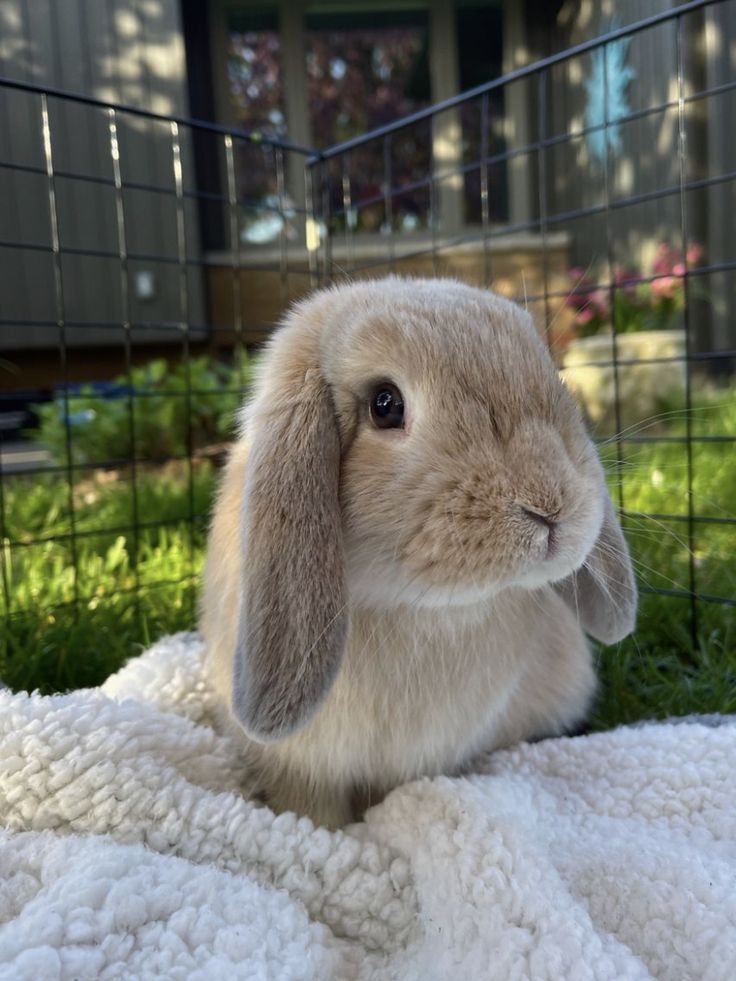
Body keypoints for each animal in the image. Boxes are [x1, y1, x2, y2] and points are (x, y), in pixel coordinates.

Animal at [200, 276, 632, 828]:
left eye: (550, 378)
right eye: (385, 404)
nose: (550, 508)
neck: (420, 610)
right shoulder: (302, 767)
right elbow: (312, 810)